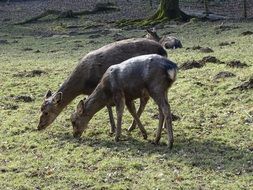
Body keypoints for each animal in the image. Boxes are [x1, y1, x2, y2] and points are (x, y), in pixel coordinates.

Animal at [38, 37, 167, 134]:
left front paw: (112, 129)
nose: (39, 127)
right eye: (40, 108)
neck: (83, 84)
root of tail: (164, 50)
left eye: (46, 112)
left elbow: (108, 106)